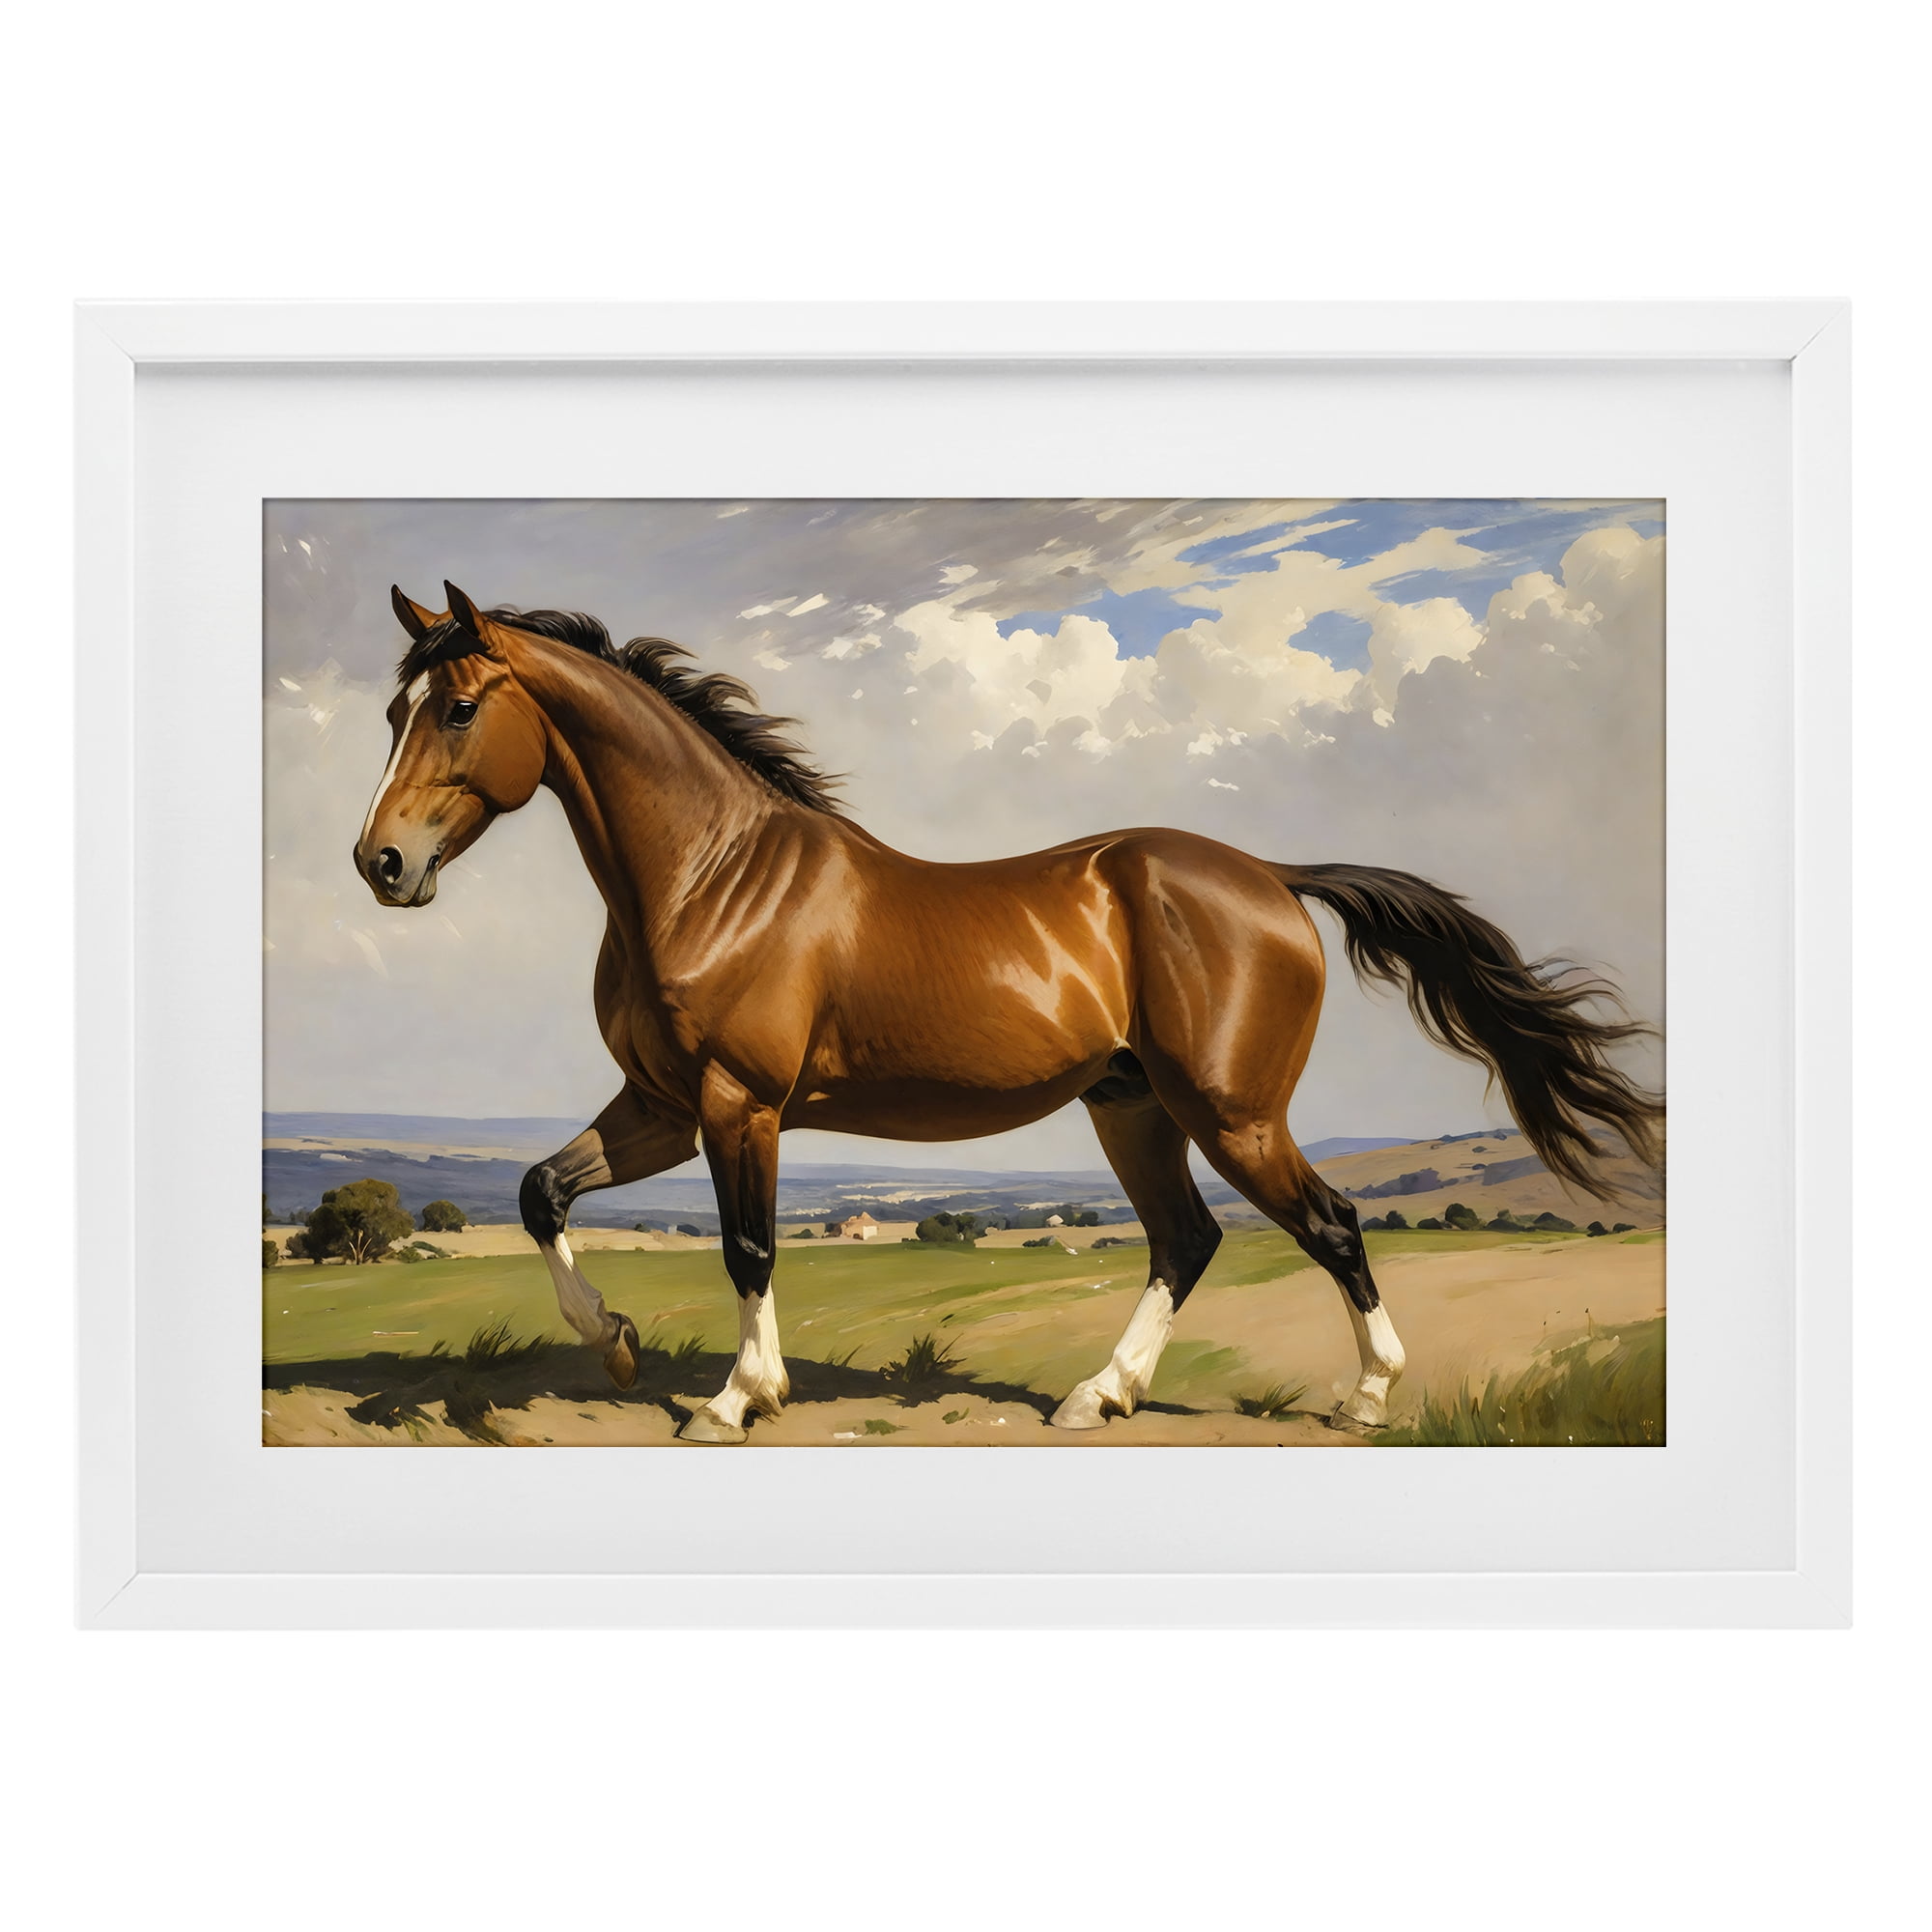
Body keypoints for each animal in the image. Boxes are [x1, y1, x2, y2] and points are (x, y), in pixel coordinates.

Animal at [353, 582, 1662, 1443]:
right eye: (391, 712)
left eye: (458, 706)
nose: (380, 862)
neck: (708, 877)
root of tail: (1271, 878)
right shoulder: (664, 1104)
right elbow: (539, 1192)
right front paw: (617, 1342)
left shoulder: (739, 1105)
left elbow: (748, 1245)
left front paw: (736, 1397)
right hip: (1133, 1107)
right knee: (1184, 1240)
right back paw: (1098, 1394)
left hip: (1231, 1111)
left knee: (1331, 1223)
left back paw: (1366, 1396)